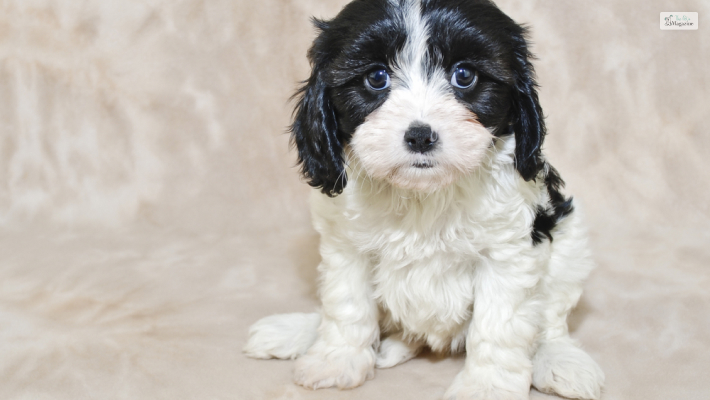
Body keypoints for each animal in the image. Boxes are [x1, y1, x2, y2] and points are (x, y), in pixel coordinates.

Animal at [246, 1, 608, 398]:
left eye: (464, 75)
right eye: (376, 78)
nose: (420, 136)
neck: (423, 192)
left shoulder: (508, 253)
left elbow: (498, 325)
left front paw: (486, 386)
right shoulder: (346, 247)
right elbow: (346, 304)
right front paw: (336, 360)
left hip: (569, 248)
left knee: (552, 320)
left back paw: (558, 359)